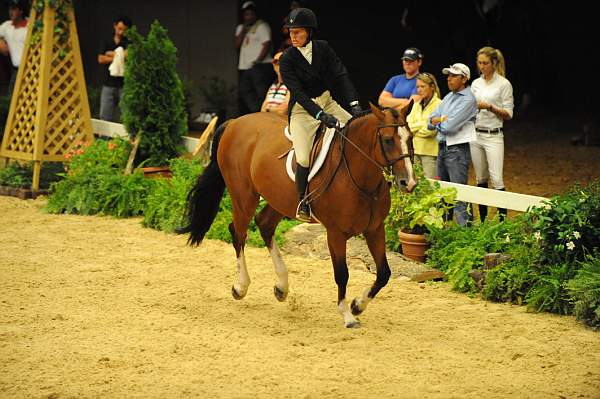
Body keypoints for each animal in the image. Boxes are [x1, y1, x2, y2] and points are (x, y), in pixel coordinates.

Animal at [179, 102, 418, 328]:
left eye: (410, 138)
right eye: (388, 140)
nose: (409, 183)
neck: (361, 180)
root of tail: (234, 122)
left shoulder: (375, 229)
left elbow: (384, 273)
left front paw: (357, 305)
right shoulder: (335, 234)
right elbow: (342, 274)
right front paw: (347, 315)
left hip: (279, 200)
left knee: (264, 225)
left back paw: (281, 288)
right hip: (244, 195)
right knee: (239, 233)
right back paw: (240, 287)